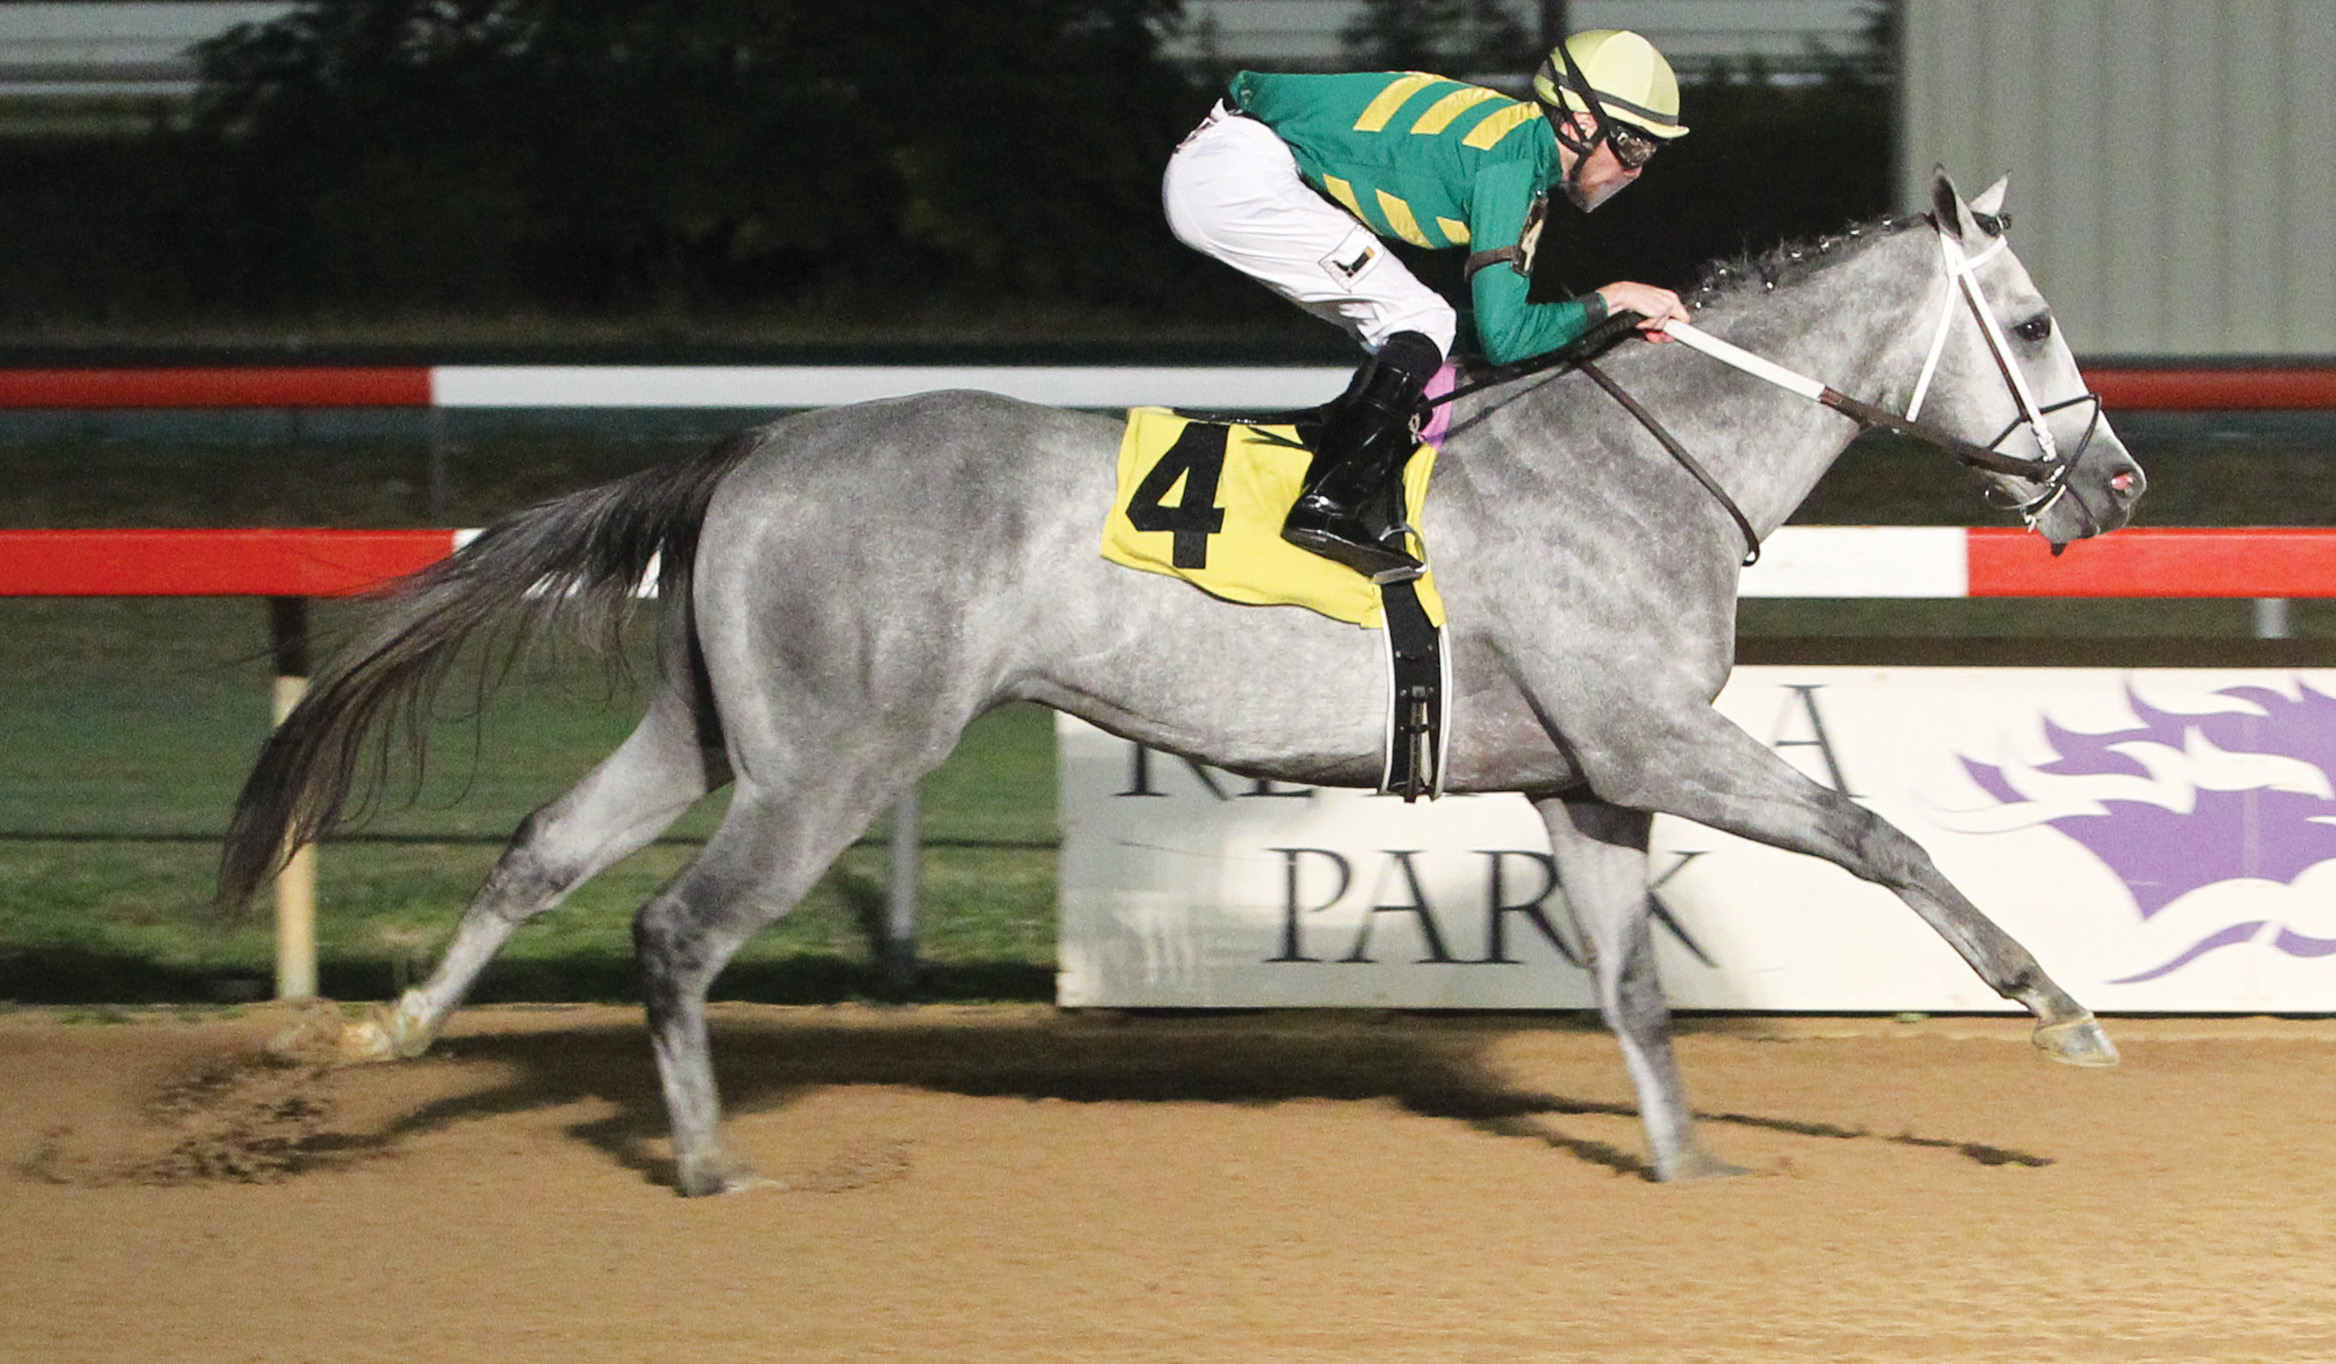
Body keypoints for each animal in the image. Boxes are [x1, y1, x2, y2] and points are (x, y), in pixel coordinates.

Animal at [219, 172, 2145, 1192]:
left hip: (718, 724)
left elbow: (1632, 984)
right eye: (2035, 324)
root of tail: (753, 450)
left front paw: (1687, 1165)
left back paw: (389, 1032)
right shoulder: (1657, 735)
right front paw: (2059, 1007)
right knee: (676, 928)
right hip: (836, 759)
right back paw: (704, 1156)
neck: (1643, 457)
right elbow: (1879, 835)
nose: (2117, 486)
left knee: (548, 846)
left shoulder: (1584, 771)